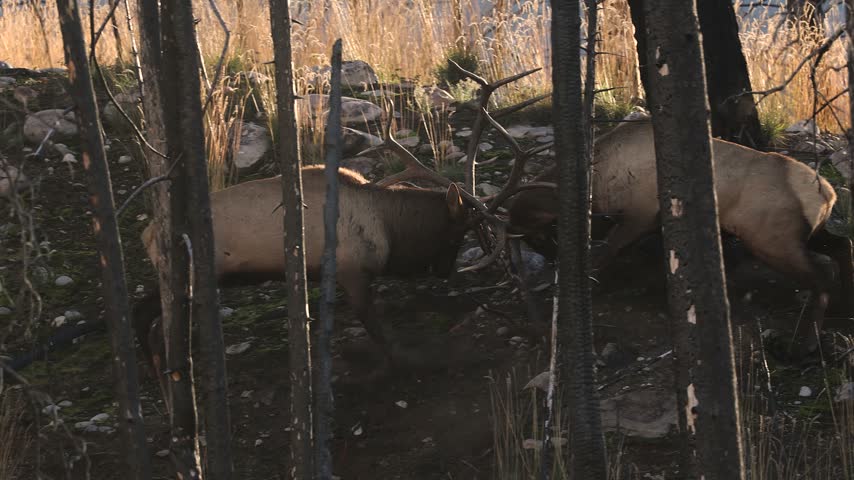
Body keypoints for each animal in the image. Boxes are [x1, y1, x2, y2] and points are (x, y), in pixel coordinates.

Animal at [501, 119, 854, 357]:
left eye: (539, 236)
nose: (553, 260)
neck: (601, 186)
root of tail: (828, 196)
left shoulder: (640, 214)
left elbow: (605, 253)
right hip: (810, 233)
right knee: (842, 246)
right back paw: (843, 309)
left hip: (772, 241)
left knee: (822, 275)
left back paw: (807, 344)